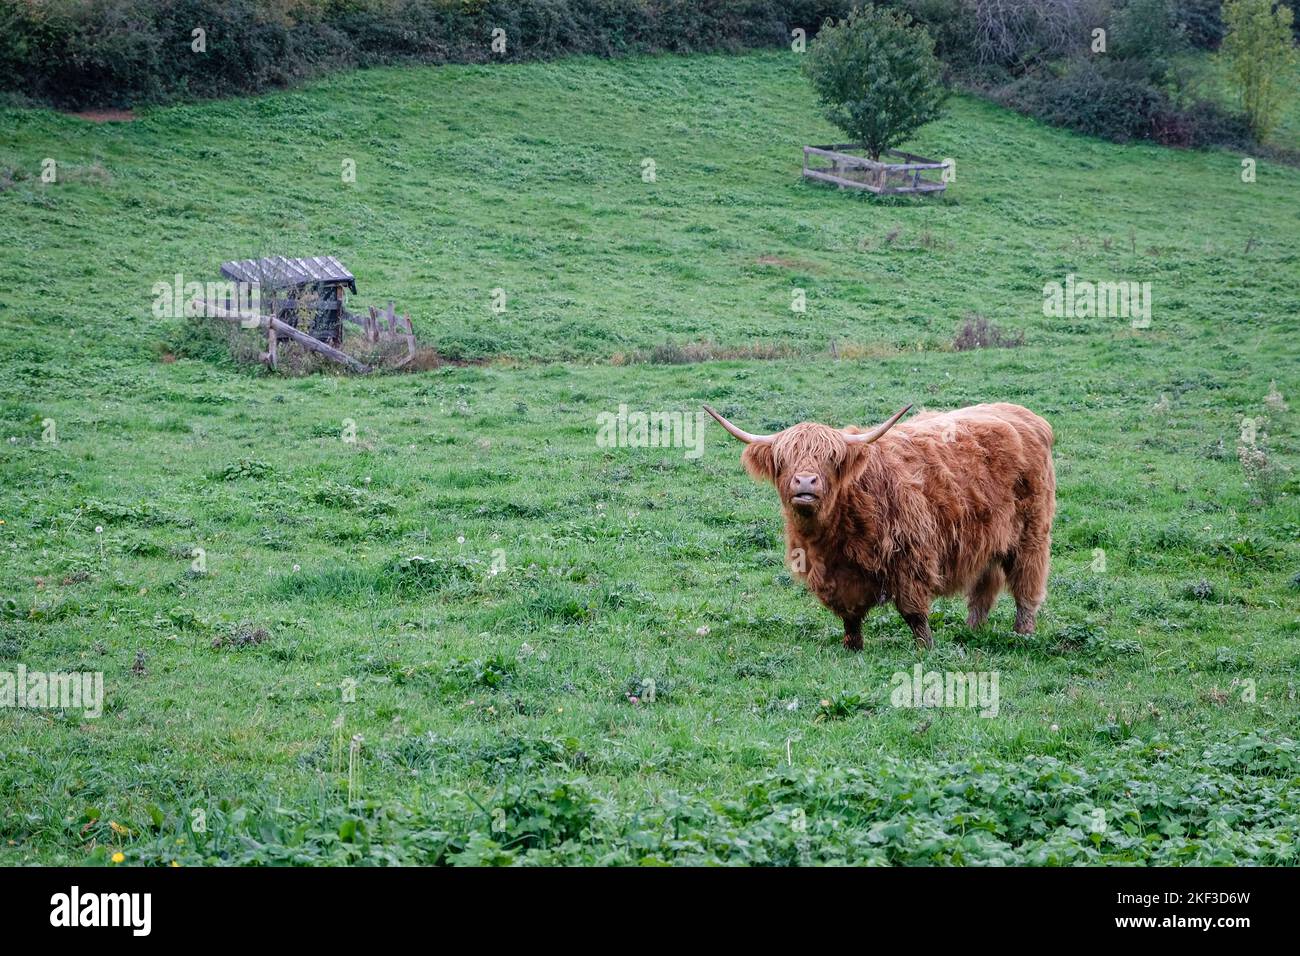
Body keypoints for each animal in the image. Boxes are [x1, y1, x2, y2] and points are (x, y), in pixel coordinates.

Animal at [703, 402, 1055, 650]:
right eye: (783, 459)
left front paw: (926, 647)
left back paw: (1023, 634)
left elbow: (913, 612)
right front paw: (852, 646)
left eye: (830, 458)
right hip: (987, 538)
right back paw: (973, 630)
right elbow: (849, 614)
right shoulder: (835, 575)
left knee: (1026, 586)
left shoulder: (911, 558)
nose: (804, 481)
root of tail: (1025, 416)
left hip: (1031, 534)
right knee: (984, 589)